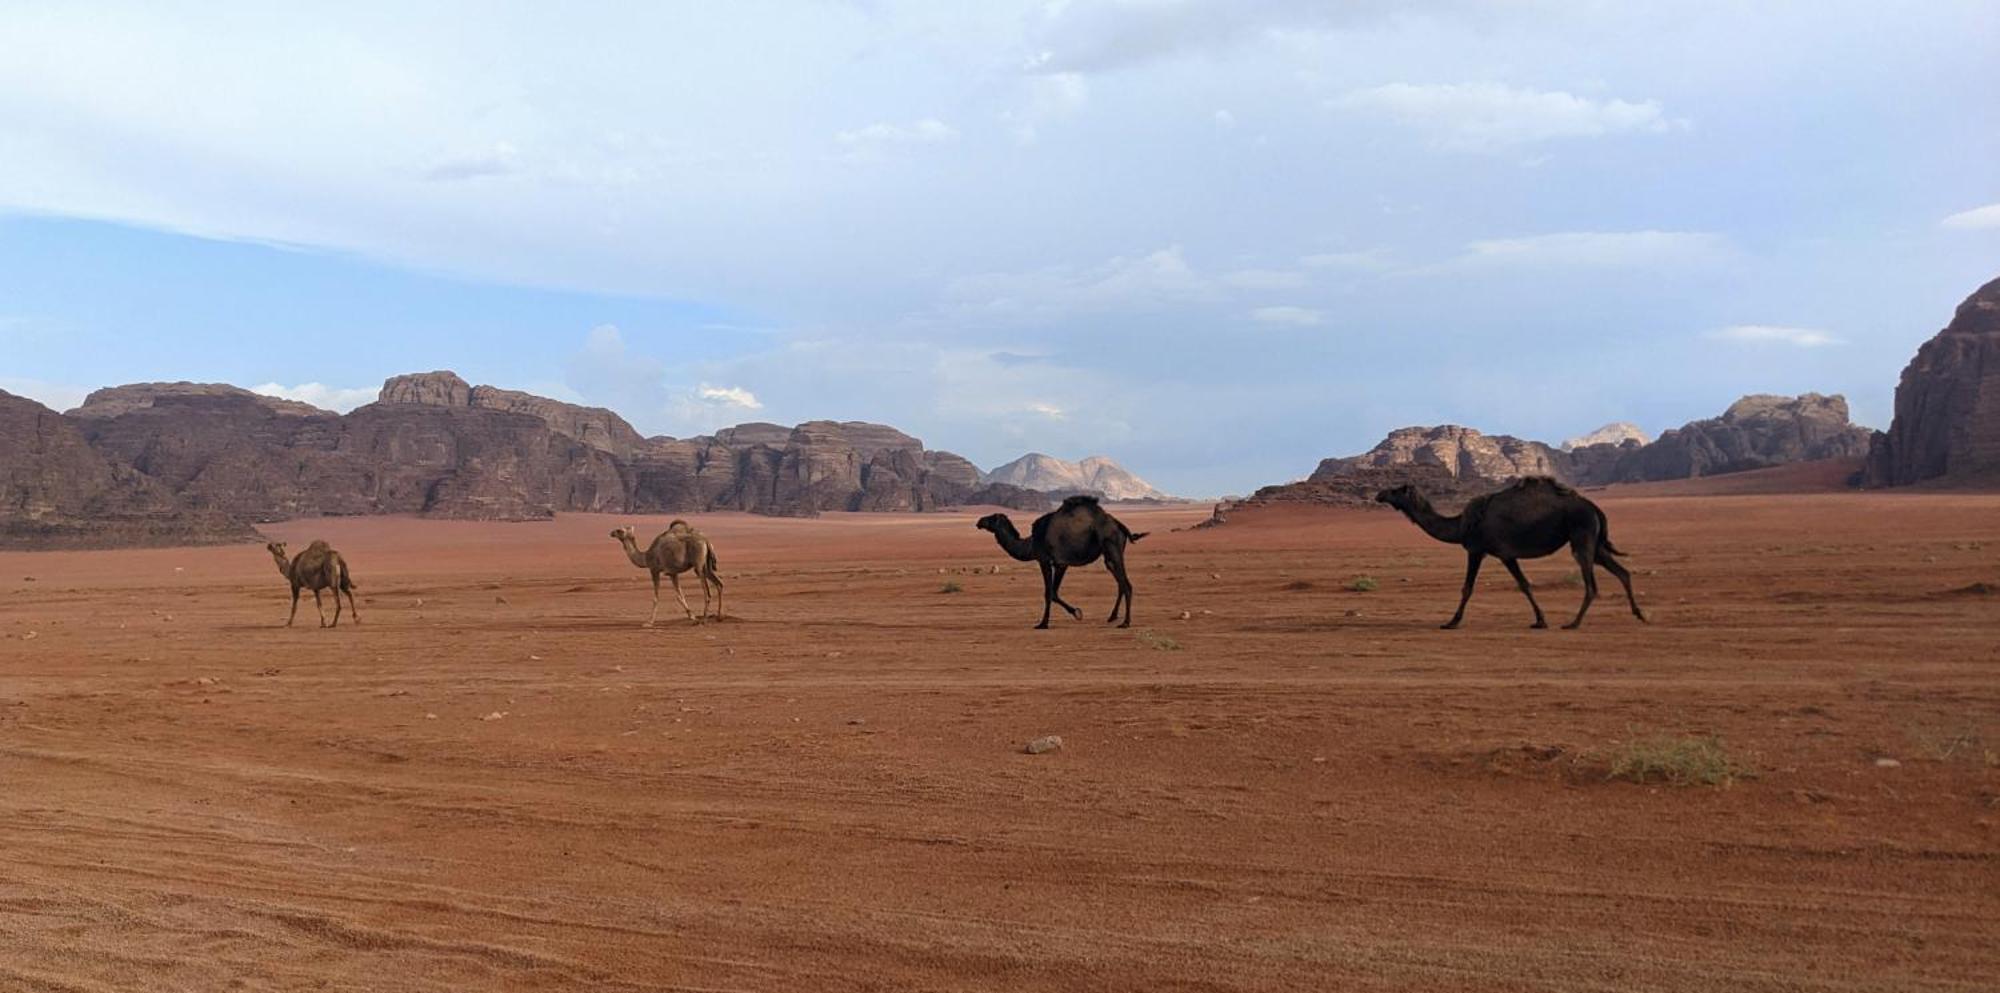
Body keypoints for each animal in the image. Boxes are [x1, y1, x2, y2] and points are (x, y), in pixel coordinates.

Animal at [976, 494, 1152, 628]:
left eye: (991, 518)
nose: (979, 521)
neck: (1031, 544)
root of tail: (1118, 524)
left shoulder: (1048, 561)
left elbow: (1050, 593)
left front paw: (1045, 623)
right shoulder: (1061, 563)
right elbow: (1053, 592)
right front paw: (1074, 613)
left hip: (1112, 544)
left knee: (1126, 584)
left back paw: (1125, 622)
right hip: (1110, 553)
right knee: (1119, 580)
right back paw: (1112, 617)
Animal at [1384, 474, 1648, 628]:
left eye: (1395, 490)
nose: (1379, 494)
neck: (1461, 525)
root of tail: (1594, 507)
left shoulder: (1483, 550)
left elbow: (1470, 587)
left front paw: (1452, 622)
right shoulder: (1504, 554)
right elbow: (1525, 585)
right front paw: (1540, 620)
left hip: (1581, 536)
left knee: (1591, 583)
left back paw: (1573, 623)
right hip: (1595, 542)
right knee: (1622, 572)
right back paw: (1640, 614)